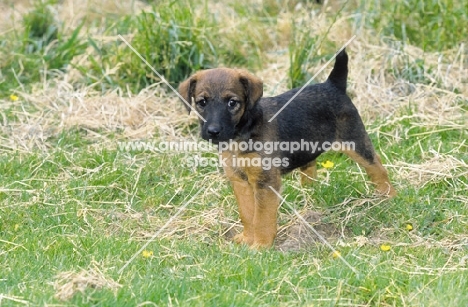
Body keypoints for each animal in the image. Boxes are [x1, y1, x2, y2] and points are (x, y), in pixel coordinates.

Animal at [178, 49, 394, 249]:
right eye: (202, 102)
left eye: (232, 102)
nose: (213, 131)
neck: (242, 132)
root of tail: (333, 85)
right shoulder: (239, 181)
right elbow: (247, 214)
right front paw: (247, 238)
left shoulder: (265, 182)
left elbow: (262, 217)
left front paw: (261, 245)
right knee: (310, 166)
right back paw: (310, 193)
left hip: (354, 140)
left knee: (376, 165)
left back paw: (387, 196)